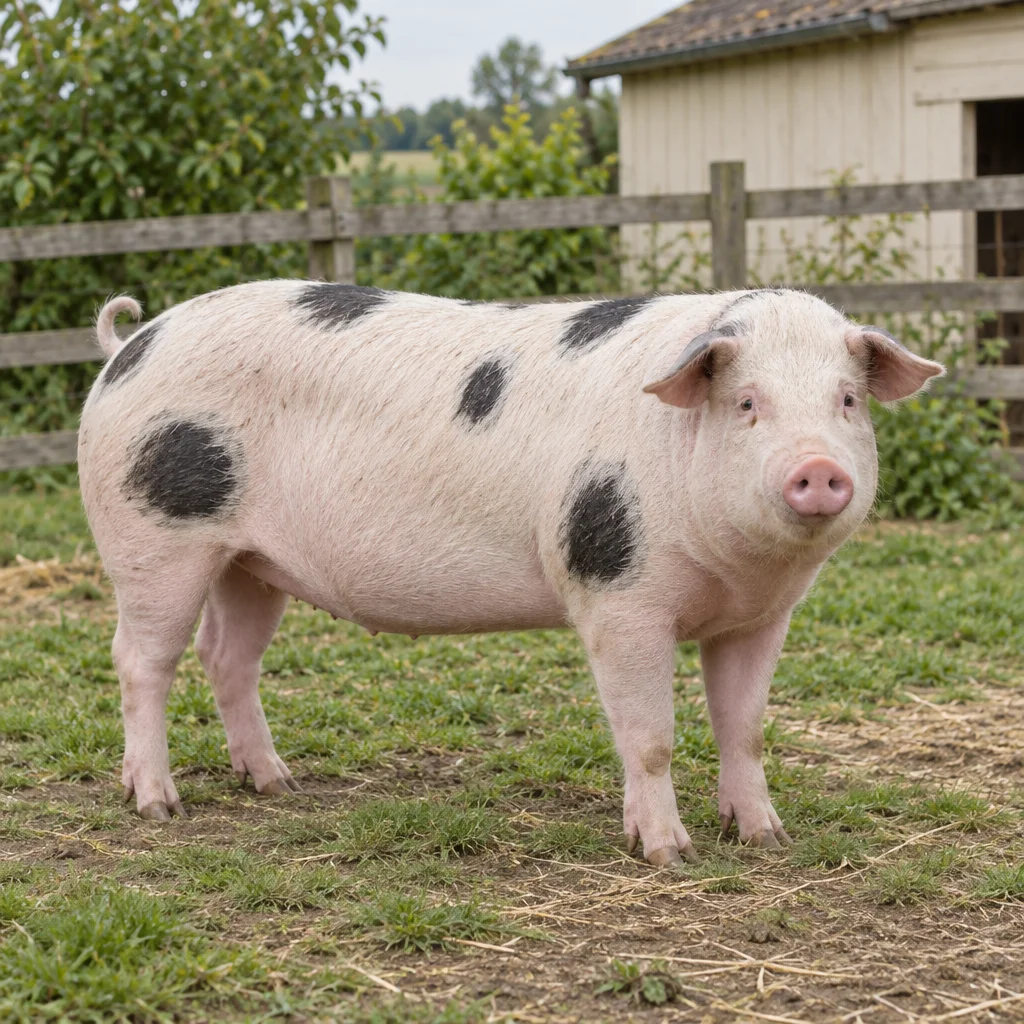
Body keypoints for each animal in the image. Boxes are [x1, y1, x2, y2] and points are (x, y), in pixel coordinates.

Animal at [78, 283, 943, 865]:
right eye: (747, 404)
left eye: (847, 401)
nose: (819, 469)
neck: (736, 572)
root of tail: (128, 348)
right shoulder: (616, 593)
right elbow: (652, 738)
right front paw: (669, 853)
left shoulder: (762, 616)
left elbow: (747, 727)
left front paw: (765, 836)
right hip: (153, 536)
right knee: (141, 660)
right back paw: (158, 806)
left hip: (250, 561)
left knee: (228, 659)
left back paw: (277, 785)